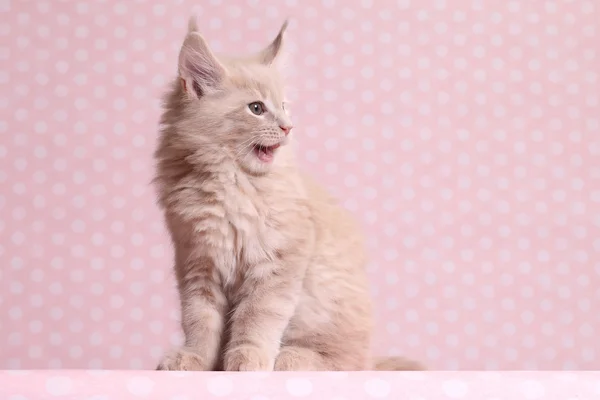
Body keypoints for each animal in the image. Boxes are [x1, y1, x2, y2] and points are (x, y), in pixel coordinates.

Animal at [154, 16, 422, 372]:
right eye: (256, 108)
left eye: (284, 107)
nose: (287, 127)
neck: (232, 182)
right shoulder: (198, 263)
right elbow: (199, 322)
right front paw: (196, 359)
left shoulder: (278, 262)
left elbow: (257, 317)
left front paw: (247, 358)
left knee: (343, 362)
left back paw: (292, 357)